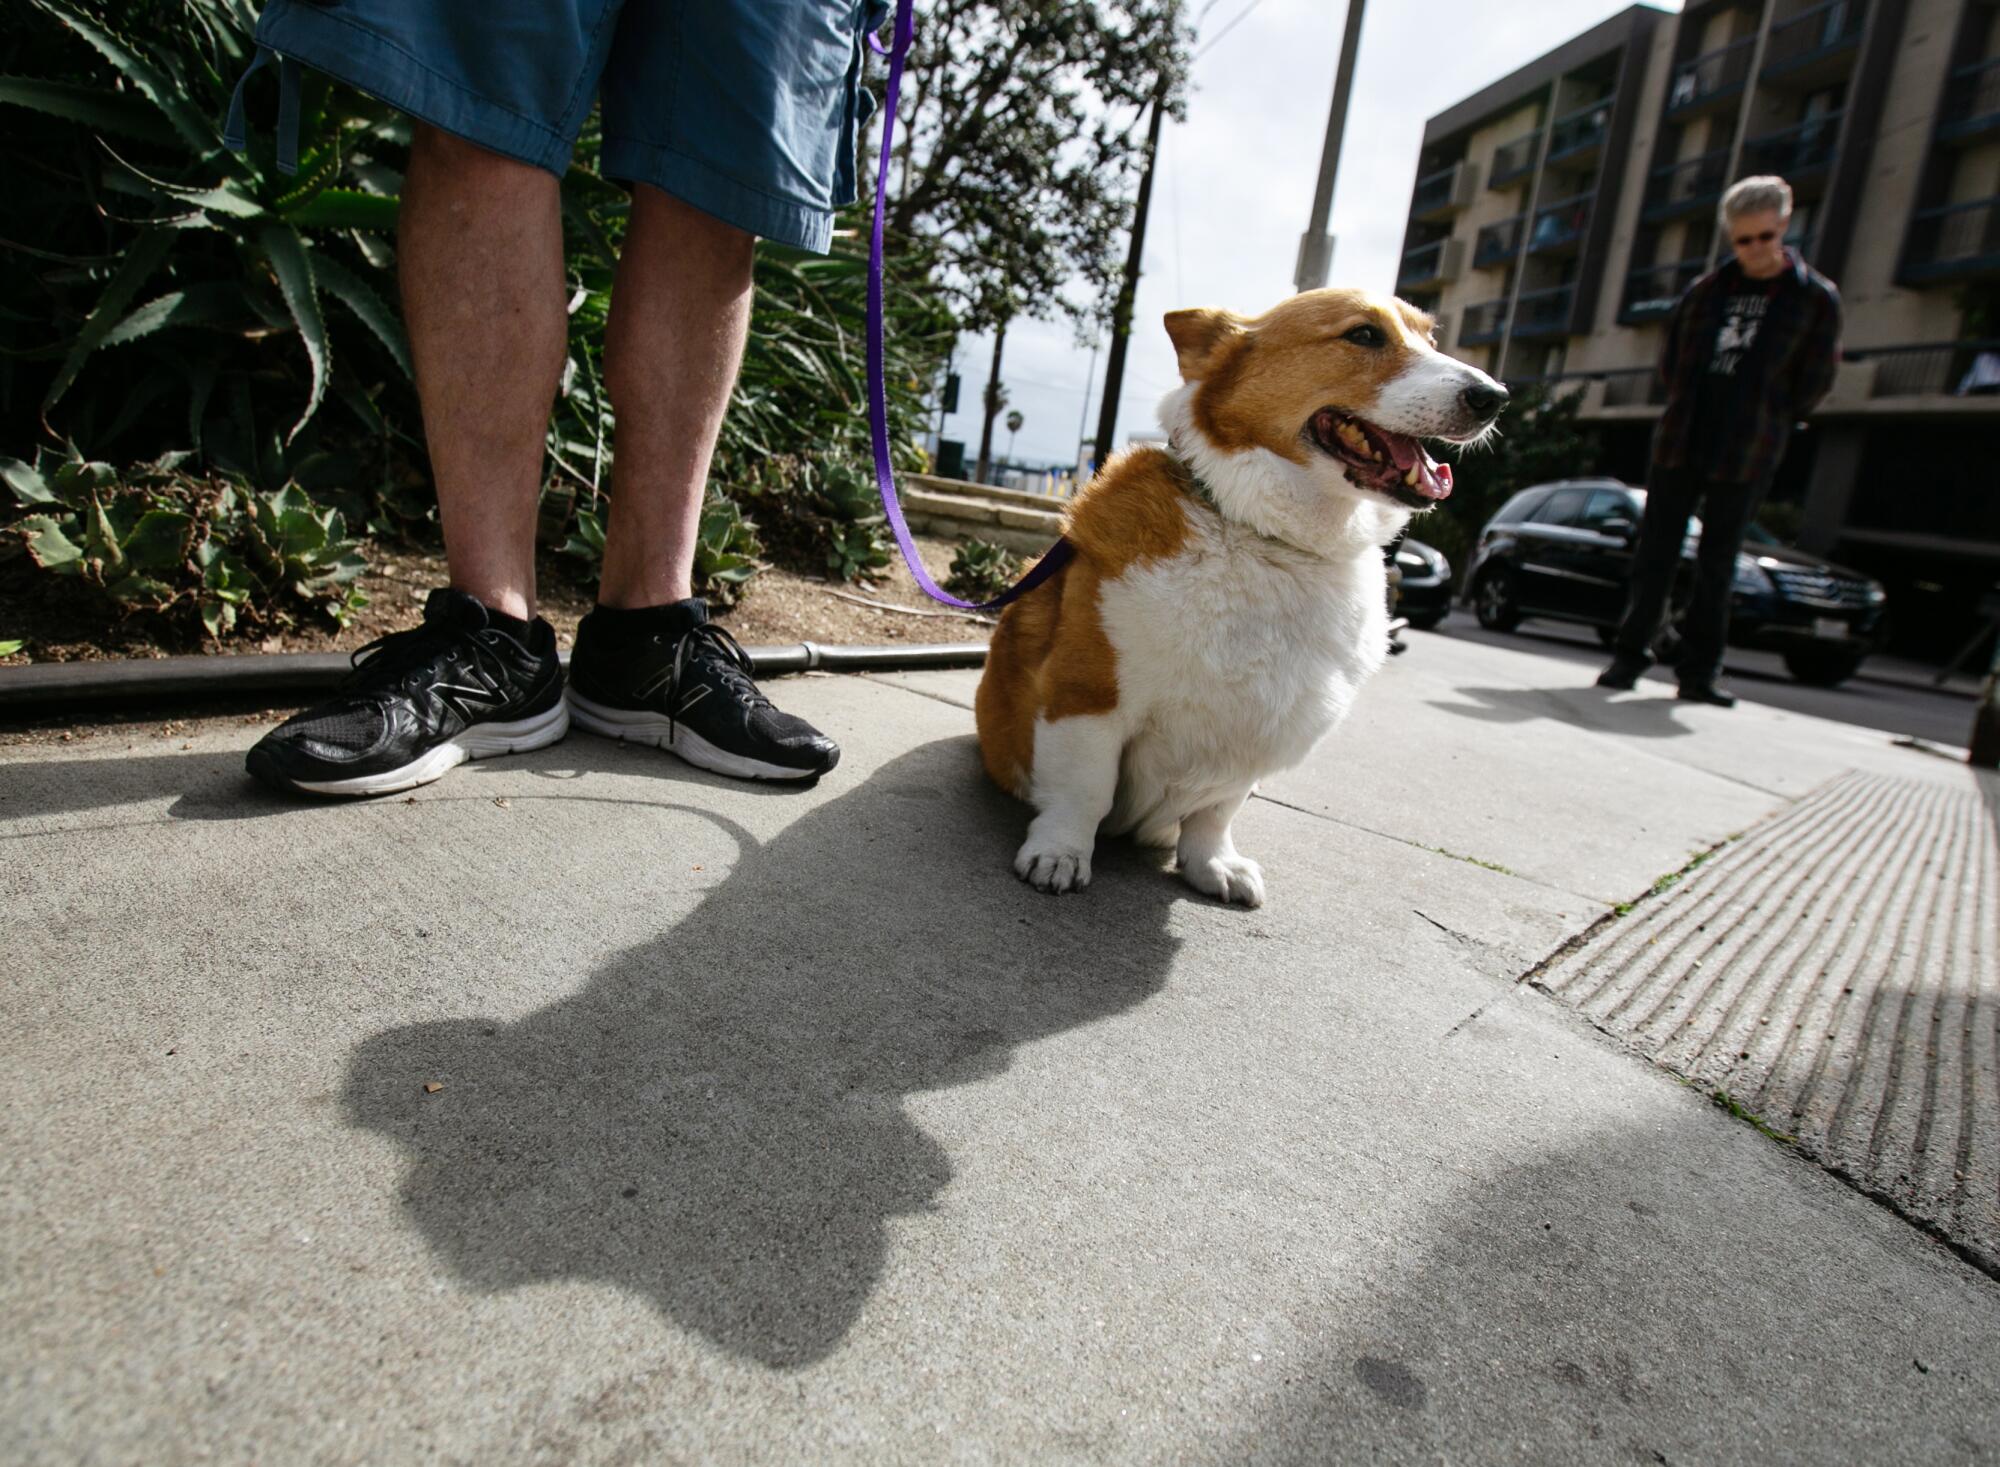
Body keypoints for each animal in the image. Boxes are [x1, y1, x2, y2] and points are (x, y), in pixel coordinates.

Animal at [976, 287, 1504, 907]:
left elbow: (1215, 812)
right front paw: (1059, 854)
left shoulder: (1255, 734)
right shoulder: (1087, 697)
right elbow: (1084, 789)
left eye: (1431, 338)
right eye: (1365, 335)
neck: (1264, 535)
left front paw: (1213, 866)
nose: (1494, 398)